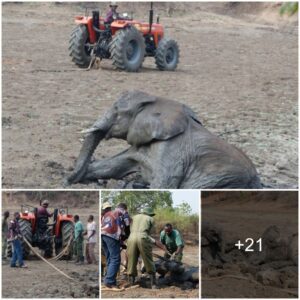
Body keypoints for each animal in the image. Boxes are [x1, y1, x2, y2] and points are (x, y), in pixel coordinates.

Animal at [64, 89, 262, 188]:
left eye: (117, 111)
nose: (66, 182)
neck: (155, 101)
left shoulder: (171, 148)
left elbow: (164, 182)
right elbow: (111, 166)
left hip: (225, 181)